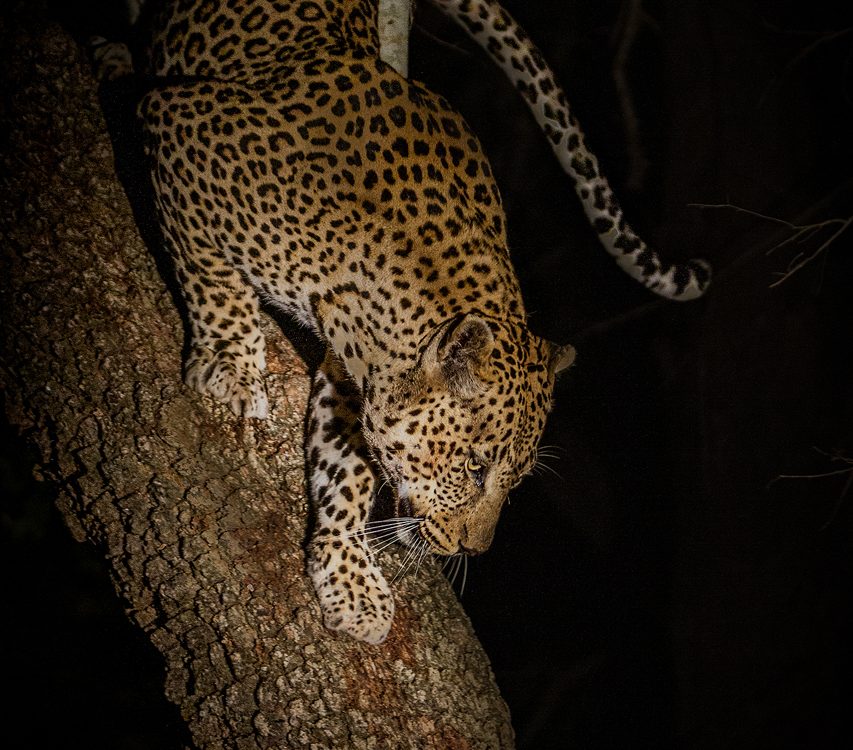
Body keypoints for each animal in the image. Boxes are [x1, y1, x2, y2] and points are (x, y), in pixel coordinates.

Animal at [94, 0, 709, 644]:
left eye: (514, 480)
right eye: (475, 467)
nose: (475, 549)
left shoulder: (351, 373)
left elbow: (348, 469)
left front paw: (350, 580)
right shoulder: (180, 119)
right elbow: (209, 272)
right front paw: (230, 364)